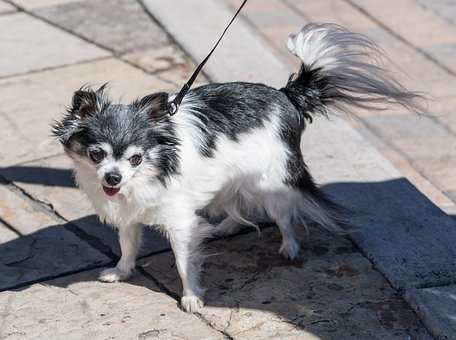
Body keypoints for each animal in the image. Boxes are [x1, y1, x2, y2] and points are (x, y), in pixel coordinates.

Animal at [52, 23, 420, 310]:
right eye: (96, 155)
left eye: (135, 159)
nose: (113, 178)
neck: (152, 169)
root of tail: (286, 96)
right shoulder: (129, 214)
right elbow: (128, 244)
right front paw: (122, 271)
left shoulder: (179, 222)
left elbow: (184, 262)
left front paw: (192, 297)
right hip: (231, 178)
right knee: (236, 202)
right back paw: (225, 227)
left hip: (272, 182)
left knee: (283, 216)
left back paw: (289, 247)